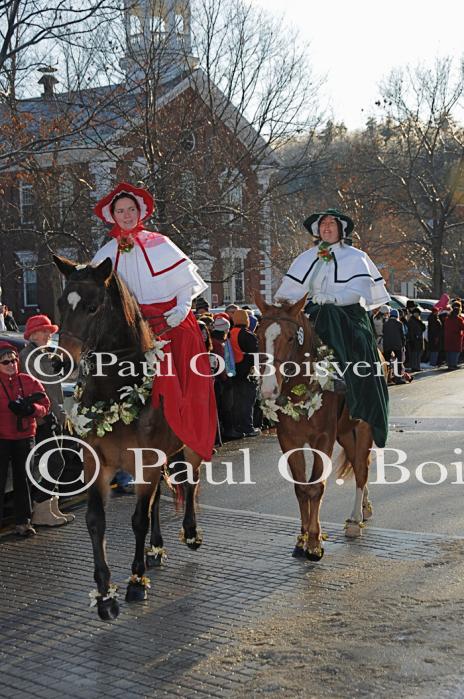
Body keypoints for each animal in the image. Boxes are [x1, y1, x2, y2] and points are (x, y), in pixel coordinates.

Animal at [52, 254, 203, 620]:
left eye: (92, 307)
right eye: (61, 303)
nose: (59, 361)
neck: (117, 389)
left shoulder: (146, 462)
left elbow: (138, 519)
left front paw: (136, 581)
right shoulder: (97, 464)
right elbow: (96, 521)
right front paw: (105, 595)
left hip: (189, 446)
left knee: (191, 482)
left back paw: (190, 533)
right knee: (159, 500)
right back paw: (156, 548)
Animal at [256, 292, 376, 560]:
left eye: (291, 337)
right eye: (258, 335)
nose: (268, 389)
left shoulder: (324, 438)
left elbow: (316, 486)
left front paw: (314, 542)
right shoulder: (288, 440)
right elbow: (301, 488)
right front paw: (301, 540)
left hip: (363, 428)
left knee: (361, 469)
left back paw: (355, 520)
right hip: (346, 433)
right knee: (358, 464)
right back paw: (364, 507)